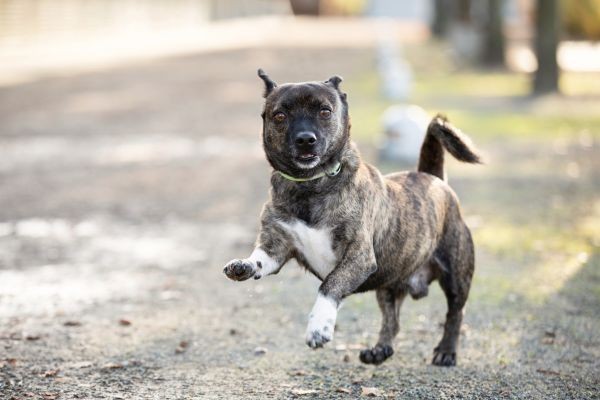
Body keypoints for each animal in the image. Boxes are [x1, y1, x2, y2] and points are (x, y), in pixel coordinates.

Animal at [223, 69, 480, 366]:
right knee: (392, 320)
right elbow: (260, 259)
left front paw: (319, 326)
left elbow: (330, 285)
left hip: (456, 276)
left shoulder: (358, 256)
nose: (305, 139)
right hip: (389, 285)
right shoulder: (276, 248)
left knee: (455, 314)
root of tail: (432, 177)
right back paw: (380, 350)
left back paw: (446, 351)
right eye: (279, 116)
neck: (310, 185)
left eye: (325, 111)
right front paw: (244, 265)